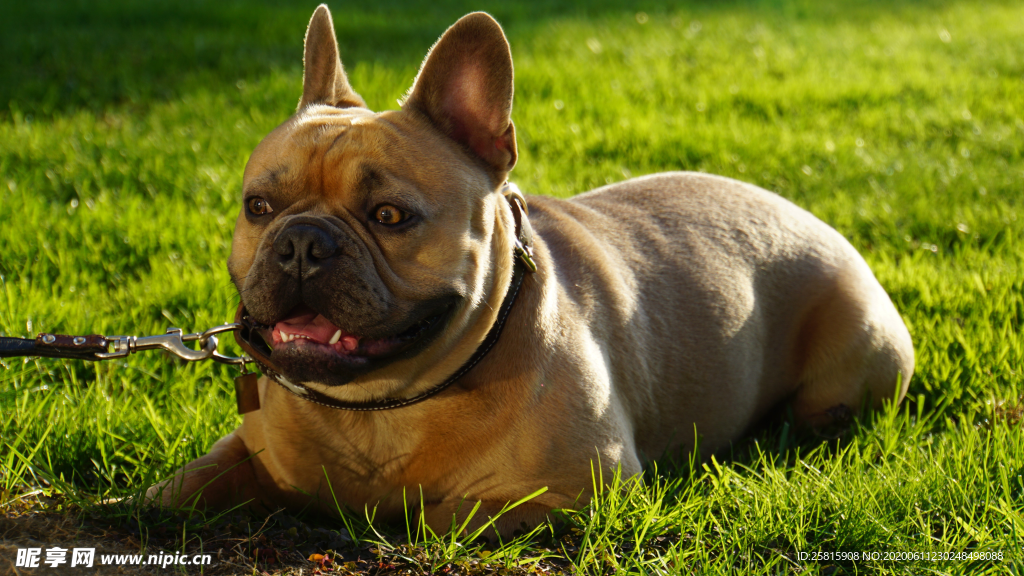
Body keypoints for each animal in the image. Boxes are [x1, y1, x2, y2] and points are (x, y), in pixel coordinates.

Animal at [149, 4, 913, 537]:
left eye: (390, 215)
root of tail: (807, 214)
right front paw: (158, 501)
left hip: (855, 353)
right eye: (258, 207)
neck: (379, 408)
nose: (303, 242)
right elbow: (182, 485)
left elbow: (442, 514)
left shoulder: (579, 487)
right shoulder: (248, 451)